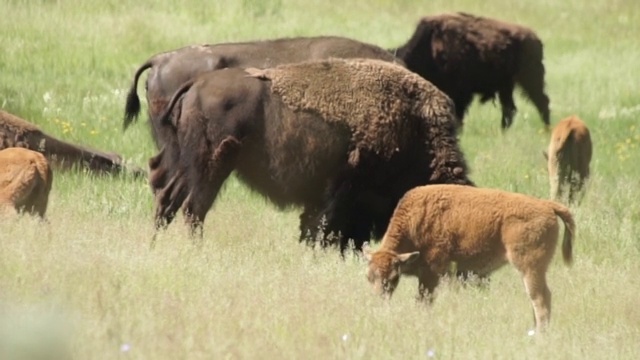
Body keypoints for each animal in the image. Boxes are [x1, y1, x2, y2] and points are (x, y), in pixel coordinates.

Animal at [149, 58, 470, 250]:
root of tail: (196, 84)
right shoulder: (341, 194)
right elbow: (324, 231)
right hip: (212, 167)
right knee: (194, 209)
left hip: (186, 165)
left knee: (168, 201)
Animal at [362, 184, 576, 334]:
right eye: (368, 277)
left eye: (393, 278)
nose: (378, 299)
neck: (416, 221)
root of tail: (547, 205)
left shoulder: (431, 274)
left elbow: (424, 300)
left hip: (530, 268)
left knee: (540, 297)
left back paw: (540, 333)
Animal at [390, 12, 552, 129]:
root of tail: (535, 39)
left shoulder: (460, 94)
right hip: (506, 86)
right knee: (510, 109)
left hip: (530, 79)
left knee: (541, 102)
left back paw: (546, 129)